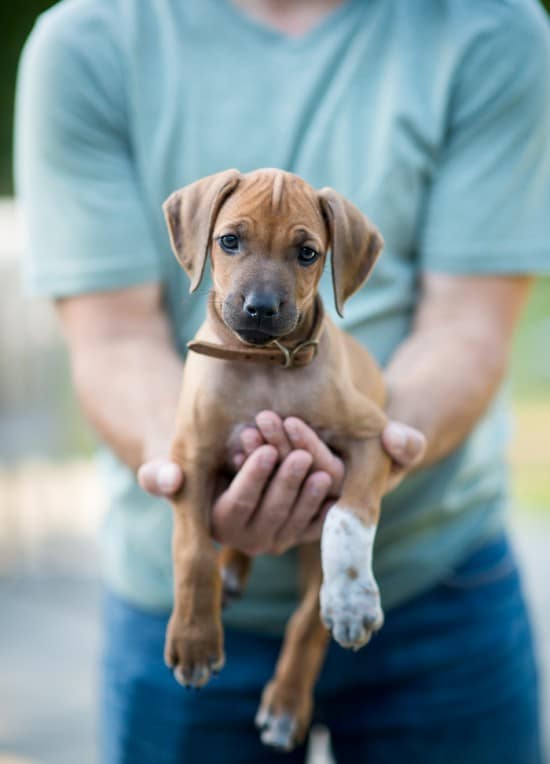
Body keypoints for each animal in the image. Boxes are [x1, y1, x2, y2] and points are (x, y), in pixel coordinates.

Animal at [163, 169, 392, 752]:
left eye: (307, 253)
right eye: (229, 241)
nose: (261, 308)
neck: (264, 365)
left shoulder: (371, 439)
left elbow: (347, 520)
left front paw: (352, 597)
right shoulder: (192, 460)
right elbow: (193, 553)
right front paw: (195, 640)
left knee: (307, 617)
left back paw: (287, 704)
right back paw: (230, 573)